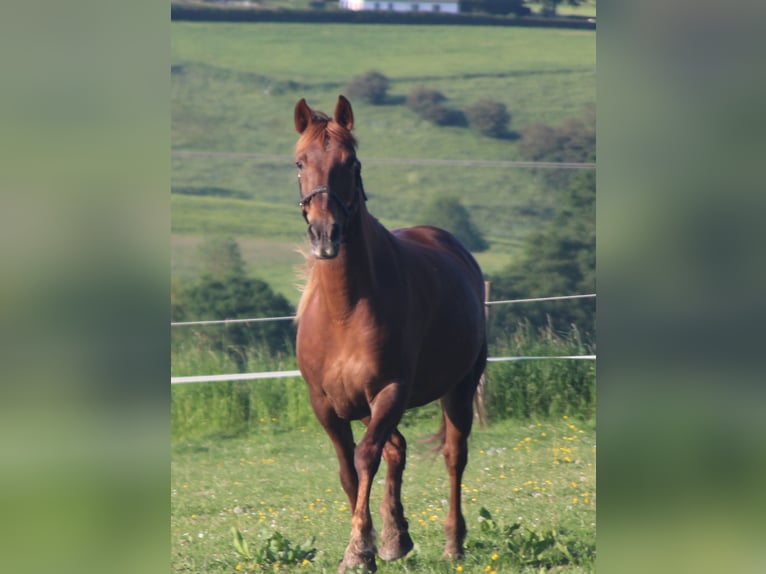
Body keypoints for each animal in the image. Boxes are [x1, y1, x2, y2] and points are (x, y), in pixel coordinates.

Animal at [294, 97, 486, 572]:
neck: (344, 311)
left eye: (352, 162)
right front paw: (373, 544)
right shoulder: (326, 404)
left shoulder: (390, 391)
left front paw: (359, 550)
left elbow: (365, 458)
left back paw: (453, 542)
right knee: (396, 448)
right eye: (300, 163)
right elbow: (348, 469)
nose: (325, 235)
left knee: (454, 456)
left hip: (458, 387)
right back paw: (397, 537)